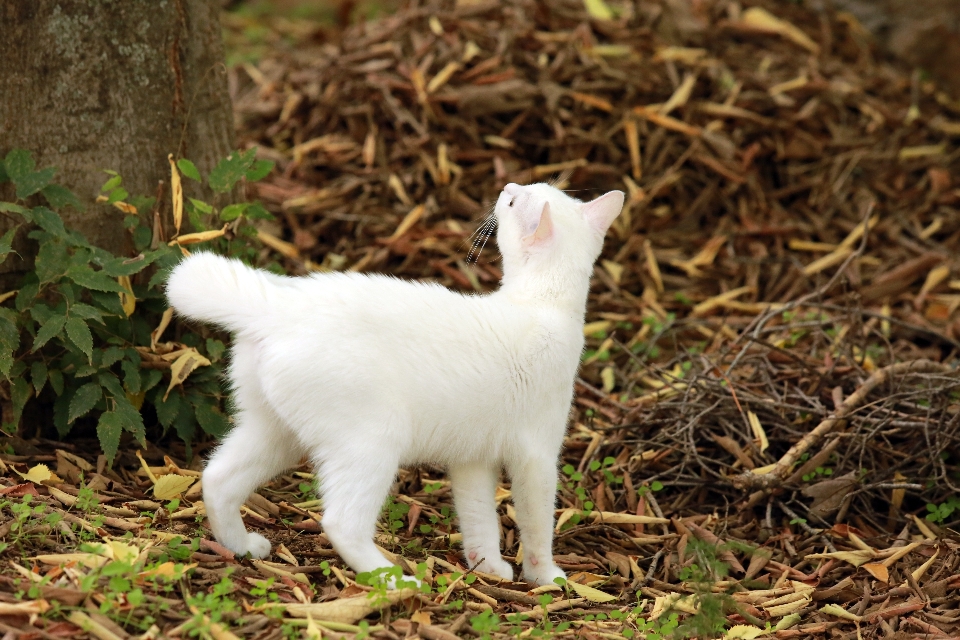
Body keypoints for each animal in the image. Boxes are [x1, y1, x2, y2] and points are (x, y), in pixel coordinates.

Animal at [165, 180, 624, 584]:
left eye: (513, 202)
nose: (507, 187)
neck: (544, 305)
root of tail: (277, 307)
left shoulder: (474, 459)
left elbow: (479, 518)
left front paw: (488, 567)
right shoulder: (537, 458)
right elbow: (537, 525)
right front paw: (546, 577)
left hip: (275, 433)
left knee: (217, 478)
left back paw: (242, 546)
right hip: (370, 444)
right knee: (341, 523)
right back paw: (395, 581)